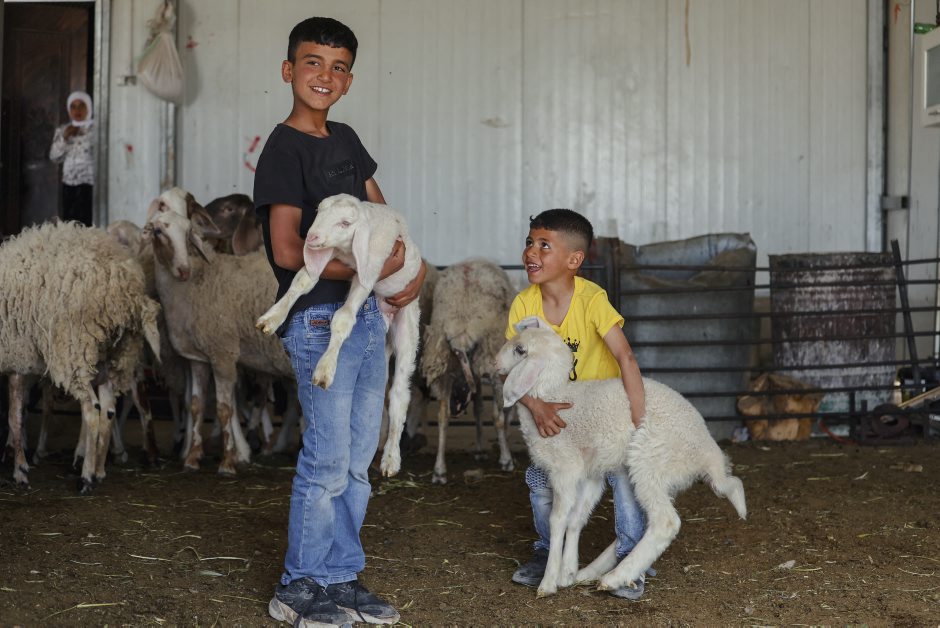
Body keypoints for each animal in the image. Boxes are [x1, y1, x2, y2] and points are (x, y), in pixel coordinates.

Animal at [0, 222, 161, 492]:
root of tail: (128, 290)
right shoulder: (17, 360)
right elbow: (16, 415)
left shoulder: (17, 358)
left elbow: (15, 418)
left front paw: (20, 469)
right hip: (115, 356)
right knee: (108, 408)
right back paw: (99, 470)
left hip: (73, 350)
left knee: (92, 409)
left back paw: (86, 477)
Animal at [143, 188, 294, 475]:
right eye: (158, 231)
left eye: (188, 232)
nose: (183, 270)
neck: (197, 282)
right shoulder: (198, 359)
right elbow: (196, 405)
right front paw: (192, 457)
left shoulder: (223, 353)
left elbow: (224, 409)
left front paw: (228, 461)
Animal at [255, 193, 422, 478]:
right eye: (318, 212)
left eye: (345, 223)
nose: (311, 237)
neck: (346, 252)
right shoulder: (327, 256)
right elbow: (303, 281)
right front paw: (272, 318)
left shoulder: (370, 270)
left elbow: (343, 318)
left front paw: (325, 369)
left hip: (407, 326)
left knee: (399, 395)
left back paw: (390, 459)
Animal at [420, 258, 516, 484]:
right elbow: (499, 414)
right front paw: (504, 455)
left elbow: (478, 408)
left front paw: (480, 450)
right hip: (492, 358)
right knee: (497, 416)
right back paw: (506, 459)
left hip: (443, 360)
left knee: (442, 417)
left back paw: (439, 471)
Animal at [496, 317, 747, 597]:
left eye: (519, 350)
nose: (494, 363)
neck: (554, 395)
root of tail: (708, 453)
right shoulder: (591, 474)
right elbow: (576, 518)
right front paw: (567, 572)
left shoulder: (565, 469)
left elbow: (558, 519)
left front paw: (549, 582)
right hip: (657, 474)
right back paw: (592, 571)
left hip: (650, 462)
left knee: (665, 522)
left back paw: (615, 577)